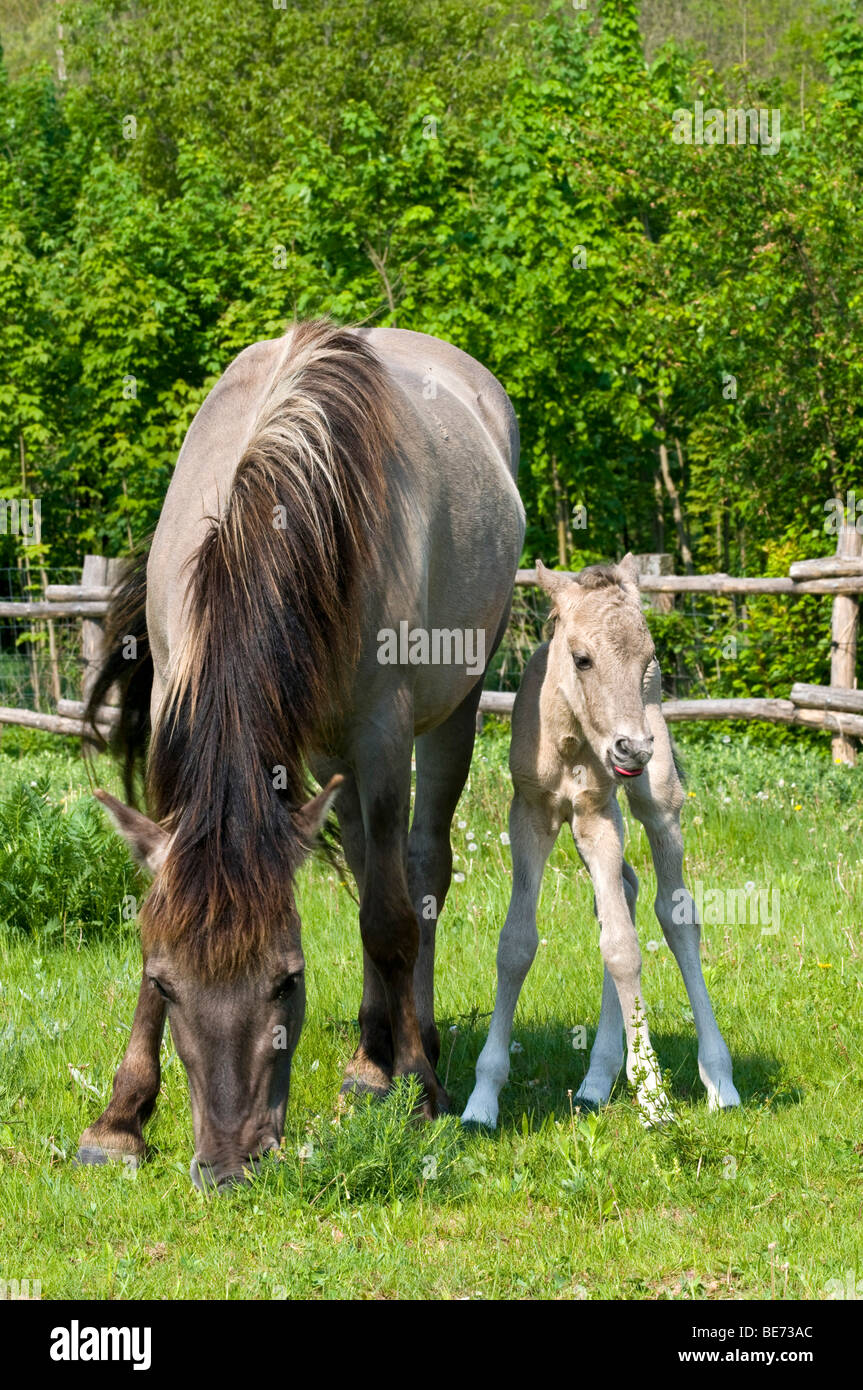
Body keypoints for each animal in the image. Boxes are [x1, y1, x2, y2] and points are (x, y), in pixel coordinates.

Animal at [80, 319, 522, 1189]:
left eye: (287, 980)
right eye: (168, 985)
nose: (229, 1163)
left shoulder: (381, 733)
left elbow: (388, 917)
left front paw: (419, 1091)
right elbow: (161, 909)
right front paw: (120, 1119)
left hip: (451, 707)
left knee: (418, 868)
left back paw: (408, 1055)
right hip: (321, 753)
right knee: (362, 853)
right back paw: (370, 1056)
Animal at [461, 553, 739, 1128]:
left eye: (648, 658)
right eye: (582, 658)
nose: (632, 748)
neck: (568, 740)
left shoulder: (597, 813)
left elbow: (623, 948)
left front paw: (653, 1093)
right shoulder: (531, 813)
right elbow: (516, 944)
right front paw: (482, 1099)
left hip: (653, 800)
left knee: (674, 914)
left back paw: (718, 1079)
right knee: (626, 893)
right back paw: (596, 1080)